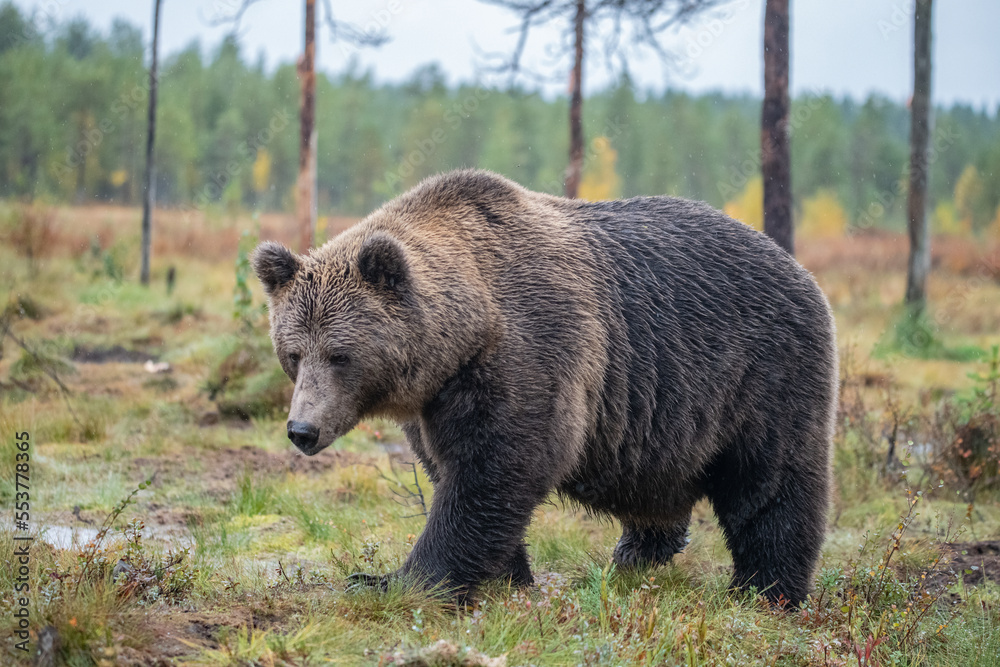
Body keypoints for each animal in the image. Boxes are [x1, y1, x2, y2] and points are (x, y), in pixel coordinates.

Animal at [250, 167, 836, 604]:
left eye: (340, 354)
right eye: (292, 353)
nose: (303, 429)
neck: (465, 333)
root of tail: (798, 267)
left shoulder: (531, 351)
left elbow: (496, 469)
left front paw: (390, 580)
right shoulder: (434, 400)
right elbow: (453, 469)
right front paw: (507, 575)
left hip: (760, 373)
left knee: (772, 483)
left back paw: (765, 590)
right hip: (664, 417)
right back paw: (636, 553)